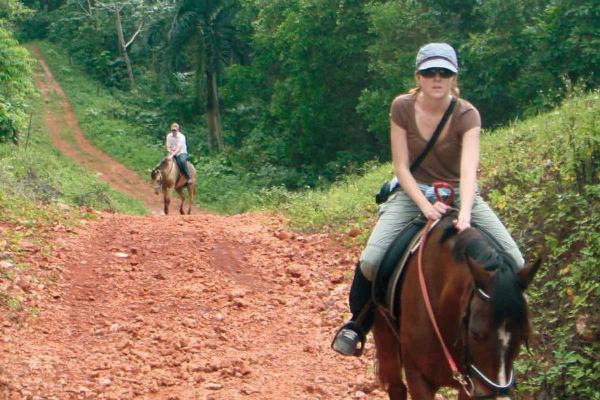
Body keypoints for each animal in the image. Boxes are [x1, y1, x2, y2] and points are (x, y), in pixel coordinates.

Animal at [372, 216, 540, 400]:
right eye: (475, 333)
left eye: (524, 335)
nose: (497, 397)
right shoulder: (418, 377)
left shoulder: (469, 385)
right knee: (396, 386)